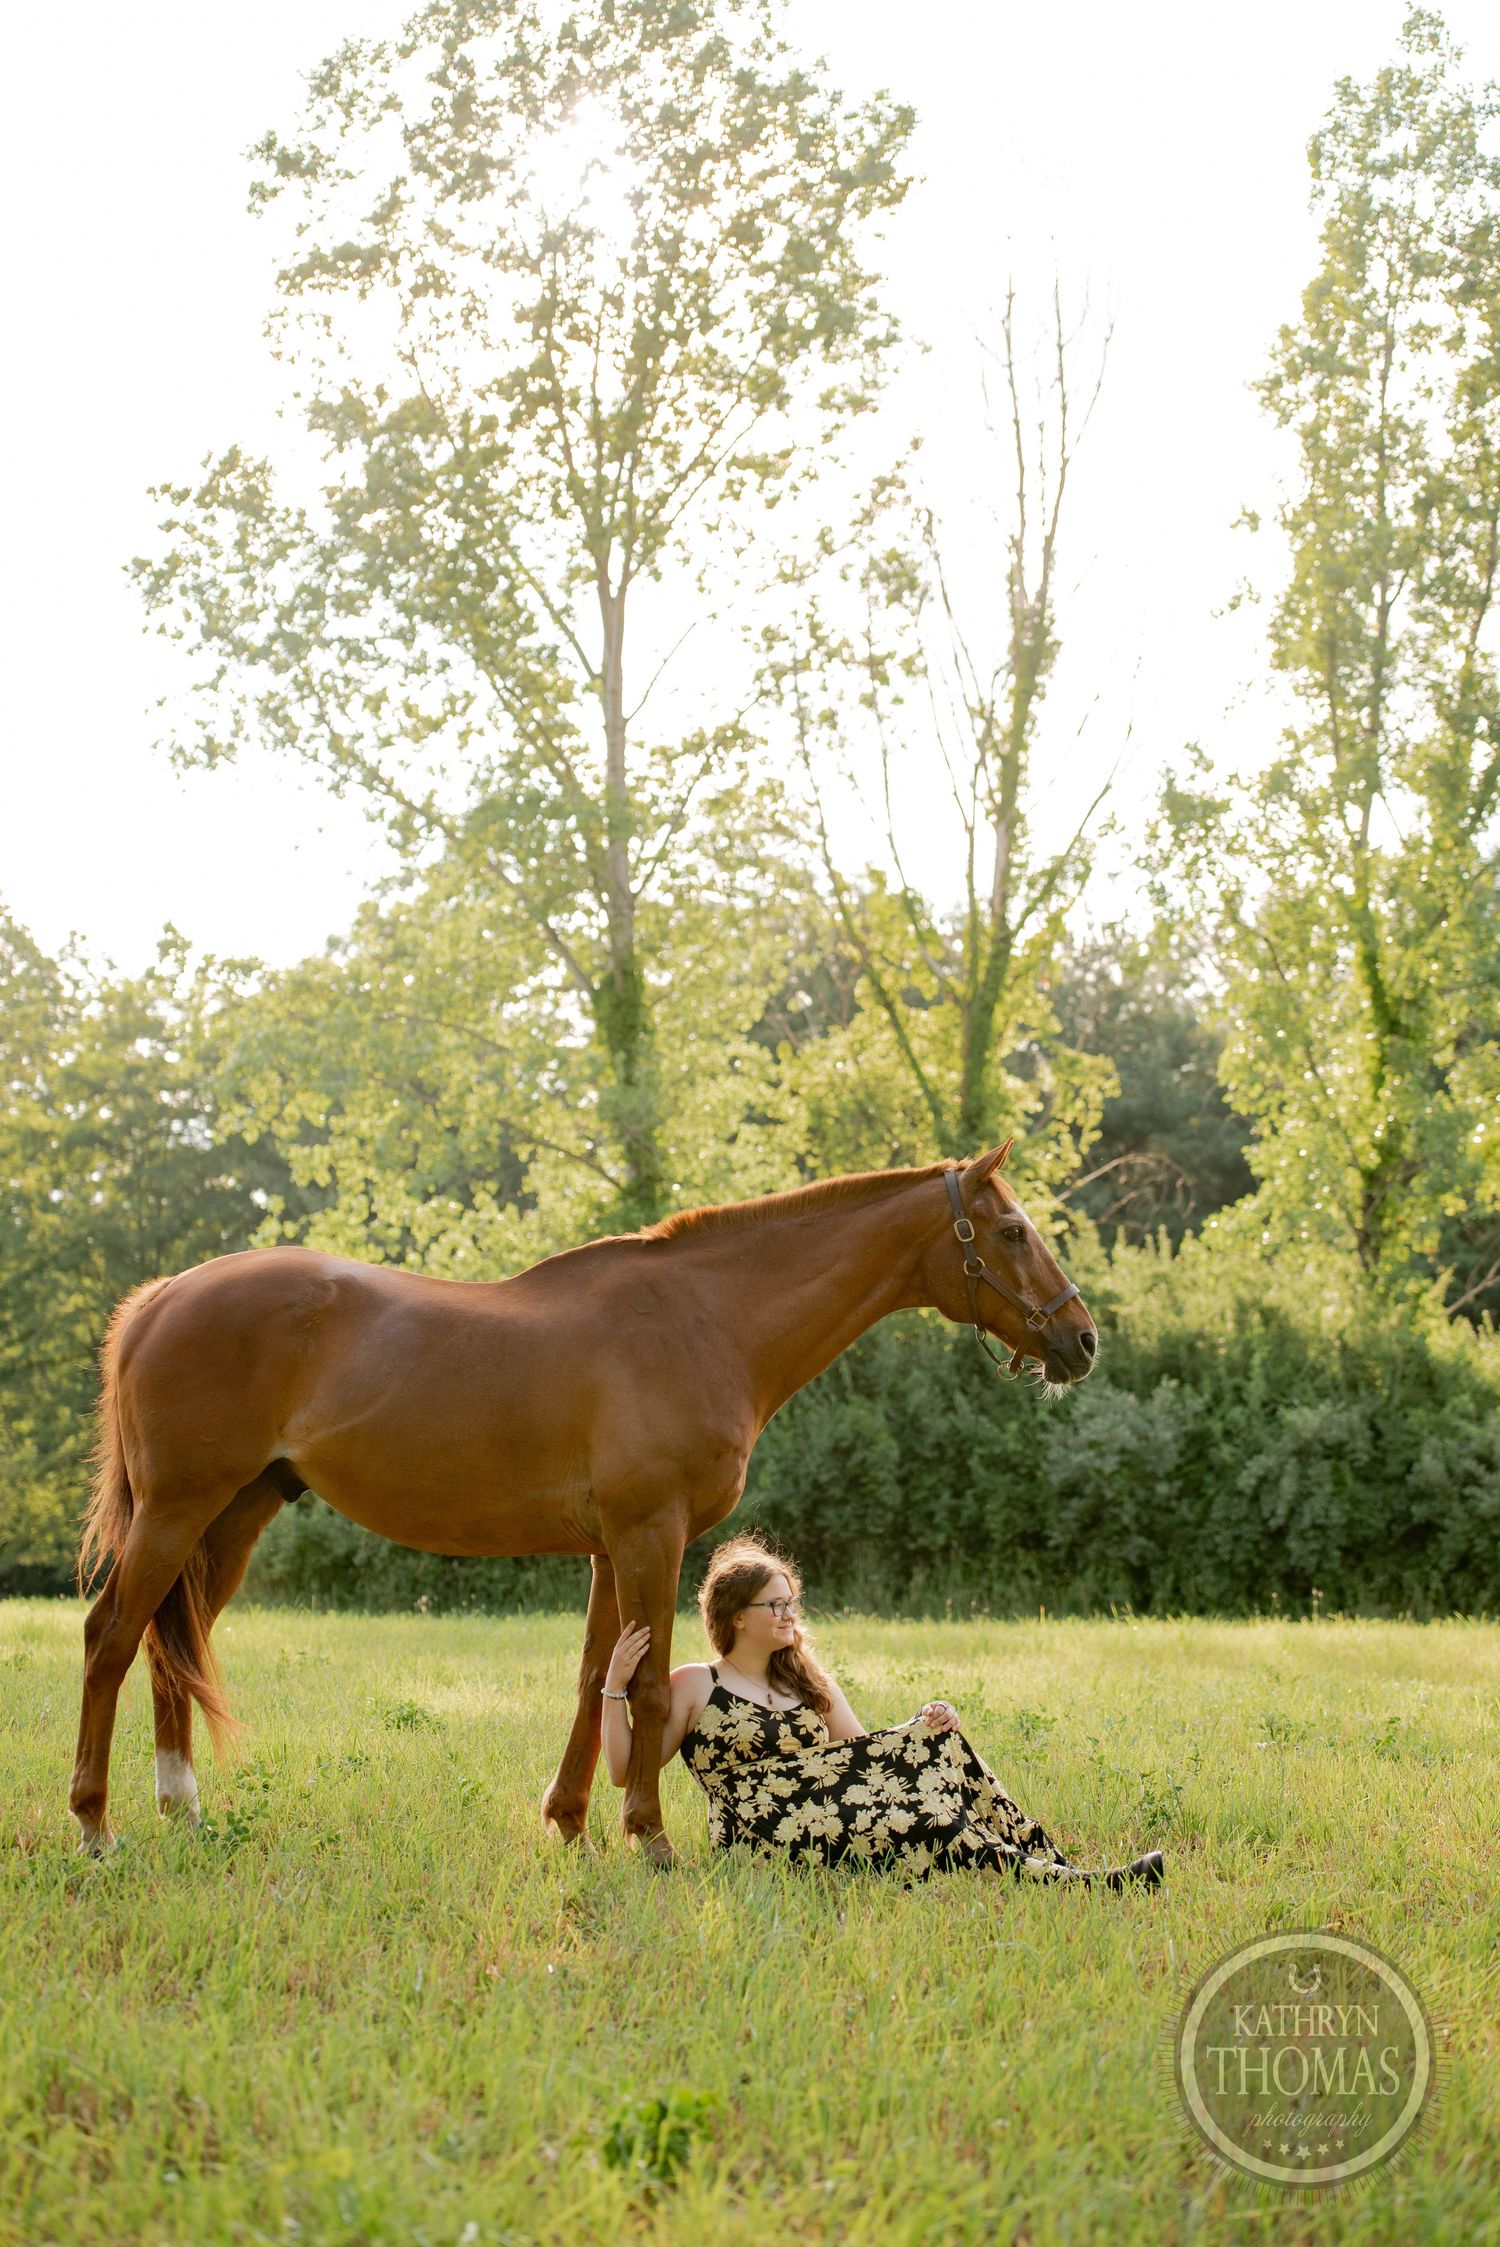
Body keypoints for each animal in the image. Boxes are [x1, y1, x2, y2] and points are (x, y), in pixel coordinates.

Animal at [70, 1141, 1096, 1862]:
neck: (704, 1319)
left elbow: (596, 1672)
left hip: (234, 1514)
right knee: (113, 1635)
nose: (1082, 1340)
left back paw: (181, 1810)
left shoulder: (611, 1546)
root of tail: (162, 1296)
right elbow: (647, 1683)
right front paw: (649, 1834)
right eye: (1012, 1231)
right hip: (177, 1508)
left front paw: (567, 1822)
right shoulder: (653, 1535)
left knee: (171, 1642)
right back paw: (94, 1824)